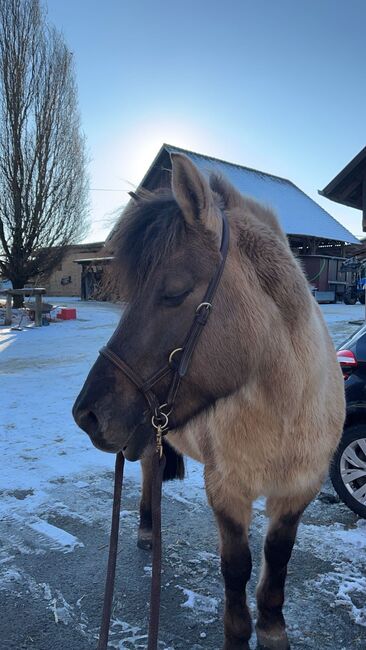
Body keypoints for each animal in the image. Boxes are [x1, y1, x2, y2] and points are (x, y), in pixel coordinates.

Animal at [73, 153, 344, 648]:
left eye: (175, 292)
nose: (87, 415)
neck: (286, 414)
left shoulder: (298, 491)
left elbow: (278, 556)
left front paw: (272, 626)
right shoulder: (226, 491)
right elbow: (236, 567)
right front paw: (238, 634)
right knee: (148, 472)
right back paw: (147, 529)